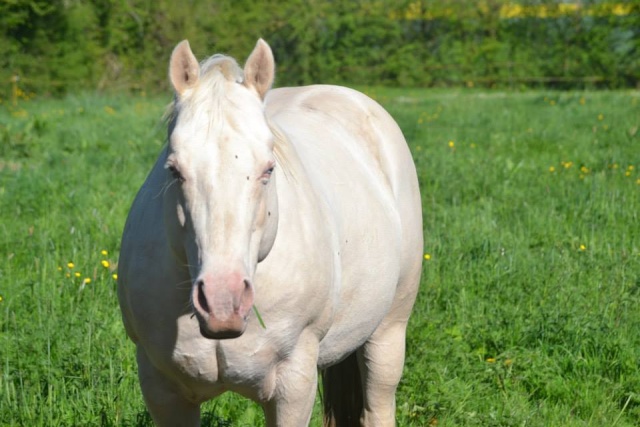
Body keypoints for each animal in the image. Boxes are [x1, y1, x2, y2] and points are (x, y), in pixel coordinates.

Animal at [117, 38, 422, 426]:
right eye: (174, 170)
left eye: (268, 169)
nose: (223, 302)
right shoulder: (163, 389)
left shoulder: (293, 384)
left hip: (388, 332)